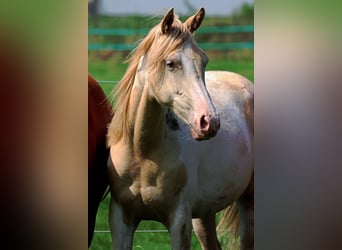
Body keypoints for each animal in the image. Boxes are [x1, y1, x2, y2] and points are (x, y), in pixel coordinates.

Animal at [107, 8, 254, 250]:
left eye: (204, 61)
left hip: (248, 202)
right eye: (171, 64)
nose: (210, 122)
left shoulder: (179, 221)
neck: (142, 154)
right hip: (204, 213)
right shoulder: (121, 219)